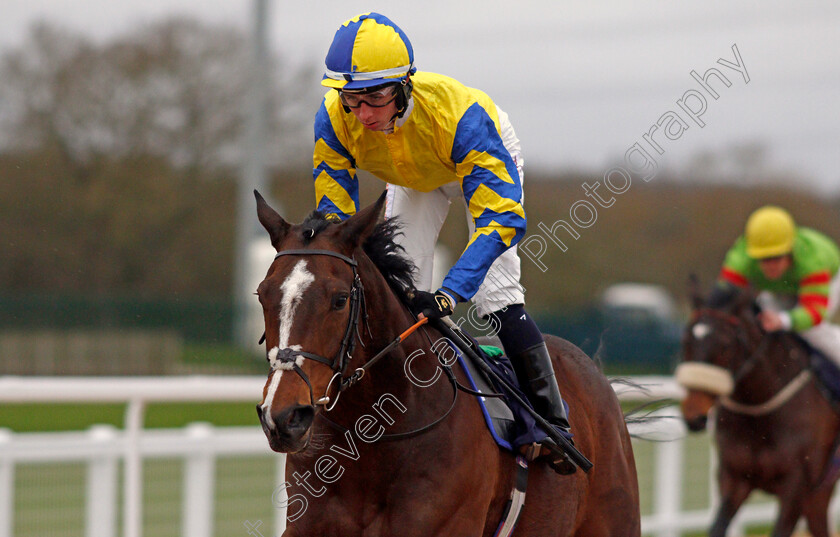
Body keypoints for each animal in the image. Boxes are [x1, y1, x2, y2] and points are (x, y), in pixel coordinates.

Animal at [676, 282, 840, 532]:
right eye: (686, 340)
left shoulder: (797, 486)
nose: (694, 415)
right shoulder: (734, 478)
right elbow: (717, 526)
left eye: (725, 346)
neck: (760, 413)